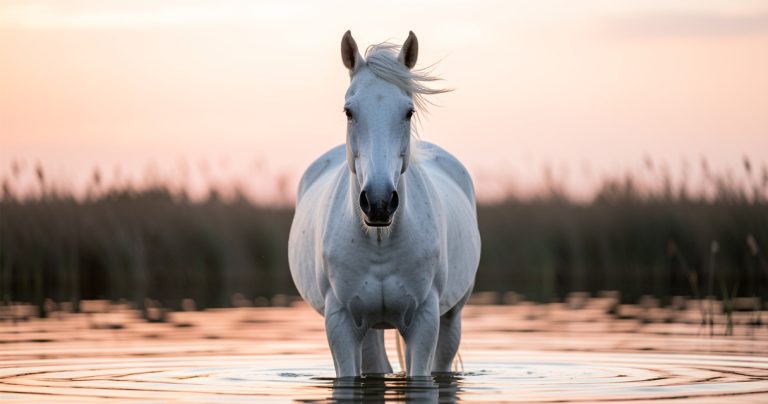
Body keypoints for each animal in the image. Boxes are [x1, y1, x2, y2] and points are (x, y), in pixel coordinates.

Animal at [288, 31, 480, 378]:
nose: (378, 202)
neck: (380, 242)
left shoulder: (425, 321)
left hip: (451, 319)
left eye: (408, 112)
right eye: (349, 111)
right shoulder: (340, 323)